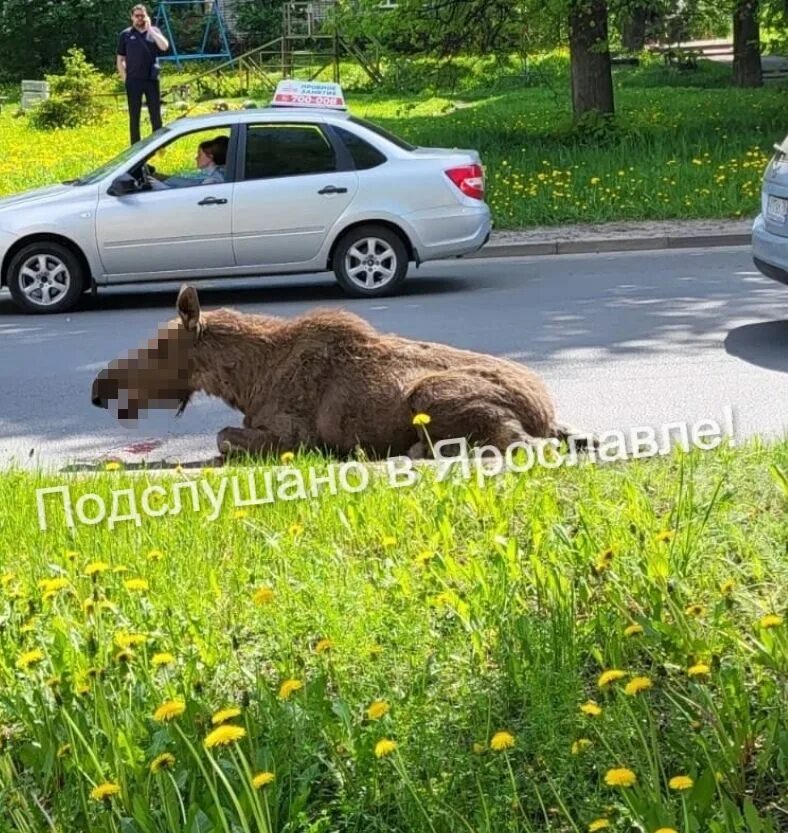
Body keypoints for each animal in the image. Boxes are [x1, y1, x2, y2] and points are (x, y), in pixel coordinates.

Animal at [89, 282, 588, 458]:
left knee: (522, 444)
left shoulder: (296, 434)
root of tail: (543, 411)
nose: (100, 387)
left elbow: (224, 437)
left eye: (158, 348)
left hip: (430, 395)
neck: (247, 382)